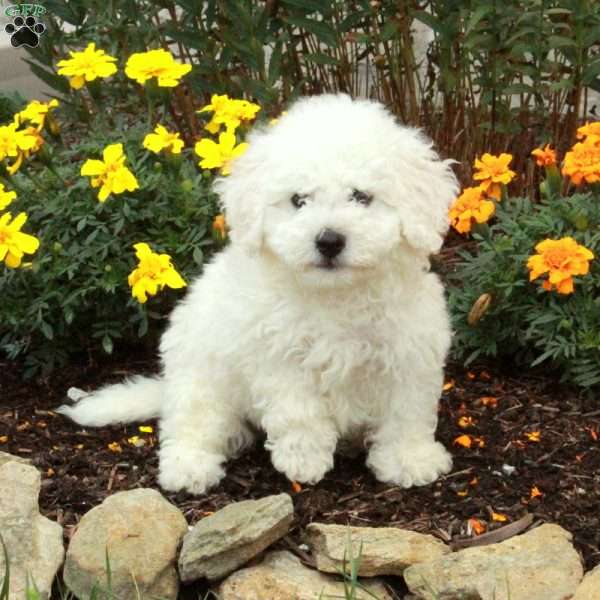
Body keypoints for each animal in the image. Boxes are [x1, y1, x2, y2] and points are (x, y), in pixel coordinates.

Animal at [57, 94, 460, 494]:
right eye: (298, 200)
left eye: (362, 197)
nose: (329, 240)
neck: (335, 295)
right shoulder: (278, 356)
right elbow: (298, 411)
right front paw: (303, 459)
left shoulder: (409, 350)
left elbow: (407, 411)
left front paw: (410, 459)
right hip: (200, 369)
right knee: (192, 421)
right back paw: (190, 466)